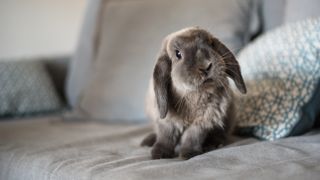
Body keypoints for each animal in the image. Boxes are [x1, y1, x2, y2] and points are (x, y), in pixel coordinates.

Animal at [141, 26, 248, 159]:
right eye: (178, 54)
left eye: (211, 43)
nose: (206, 66)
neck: (194, 94)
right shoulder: (167, 121)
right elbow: (166, 136)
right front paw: (159, 154)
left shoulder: (203, 121)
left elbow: (192, 137)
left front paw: (188, 154)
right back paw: (147, 141)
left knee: (221, 134)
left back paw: (213, 144)